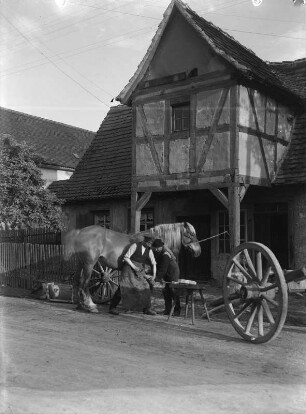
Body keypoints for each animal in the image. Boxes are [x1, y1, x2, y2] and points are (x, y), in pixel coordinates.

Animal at [64, 222, 201, 312]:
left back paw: (80, 304)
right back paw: (90, 305)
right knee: (84, 283)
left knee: (77, 281)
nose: (198, 251)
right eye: (190, 234)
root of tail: (80, 232)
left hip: (81, 264)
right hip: (89, 264)